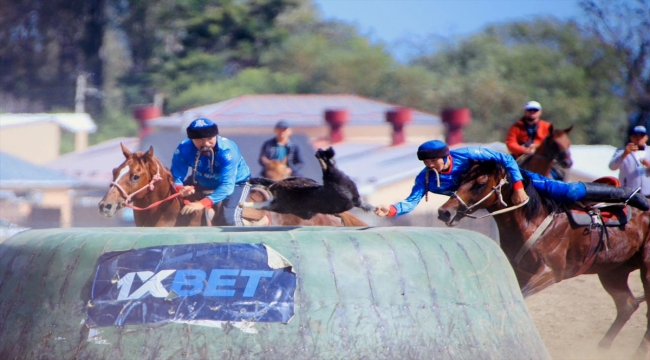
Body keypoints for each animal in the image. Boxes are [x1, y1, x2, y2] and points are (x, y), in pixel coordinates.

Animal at [436, 160, 648, 358]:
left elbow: (522, 296)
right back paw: (602, 349)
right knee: (627, 305)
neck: (533, 221)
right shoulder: (520, 272)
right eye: (461, 179)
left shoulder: (550, 273)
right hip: (612, 272)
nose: (445, 211)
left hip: (645, 271)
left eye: (480, 184)